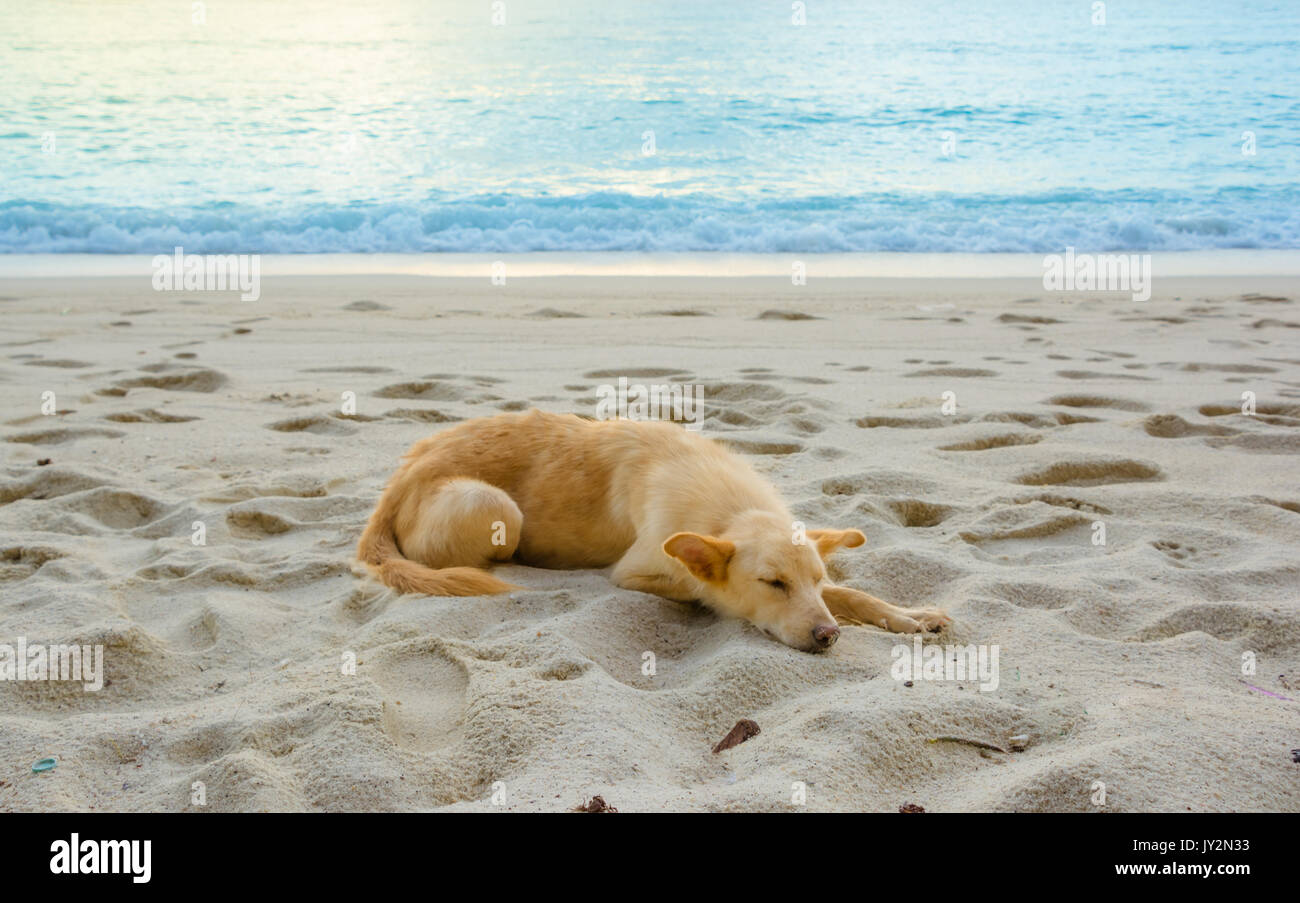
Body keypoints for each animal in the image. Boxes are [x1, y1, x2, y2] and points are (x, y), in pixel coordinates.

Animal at [361, 410, 951, 649]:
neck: (729, 510)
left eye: (813, 580)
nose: (828, 637)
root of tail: (398, 479)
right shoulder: (637, 572)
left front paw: (907, 615)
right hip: (492, 503)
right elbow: (701, 589)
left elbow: (852, 594)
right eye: (772, 584)